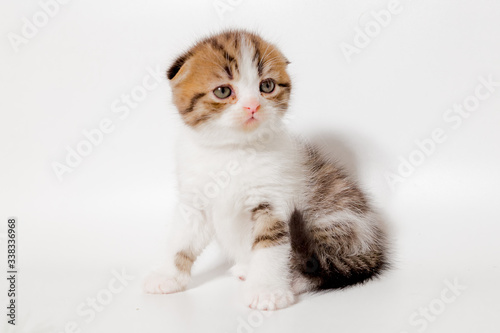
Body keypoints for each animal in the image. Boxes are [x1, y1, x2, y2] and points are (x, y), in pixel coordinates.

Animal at [143, 29, 388, 310]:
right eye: (223, 91)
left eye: (267, 86)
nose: (253, 106)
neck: (233, 152)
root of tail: (374, 245)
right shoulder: (195, 199)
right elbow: (181, 240)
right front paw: (167, 276)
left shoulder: (275, 203)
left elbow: (271, 246)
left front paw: (267, 291)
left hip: (332, 222)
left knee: (320, 265)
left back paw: (293, 280)